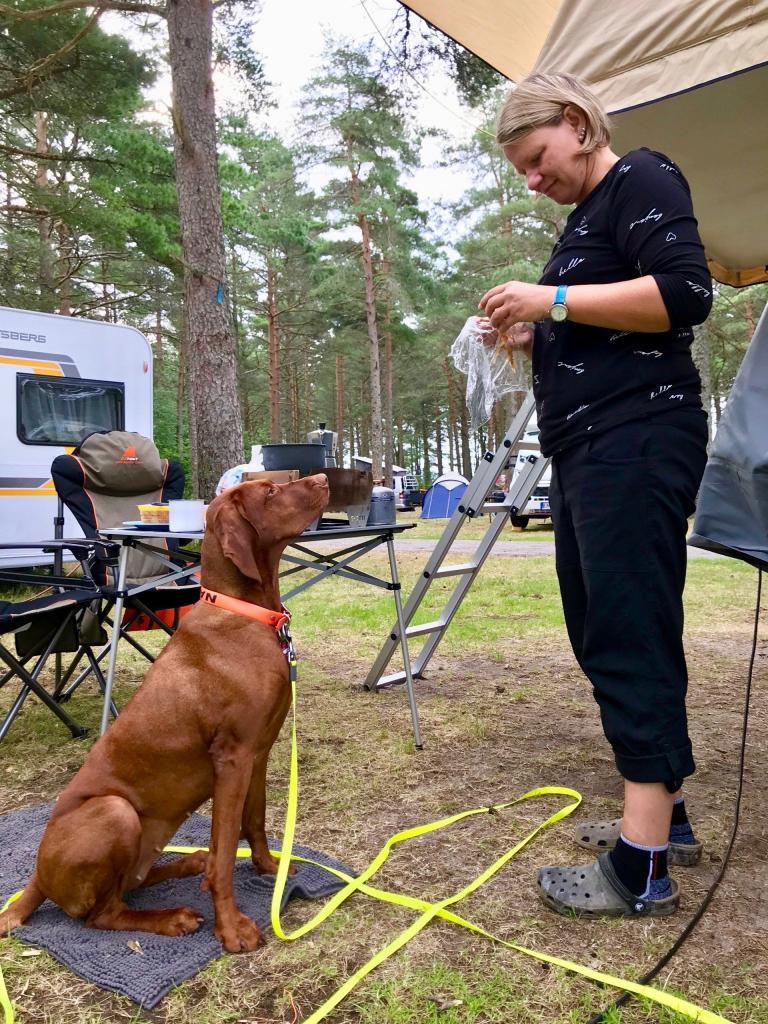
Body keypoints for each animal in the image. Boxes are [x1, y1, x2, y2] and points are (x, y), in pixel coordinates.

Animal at [0, 471, 327, 950]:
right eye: (270, 492)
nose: (323, 477)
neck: (243, 613)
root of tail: (36, 880)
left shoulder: (258, 751)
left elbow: (254, 821)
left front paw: (270, 869)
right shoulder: (232, 757)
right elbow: (226, 851)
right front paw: (231, 928)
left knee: (132, 884)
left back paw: (188, 865)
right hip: (115, 812)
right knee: (101, 915)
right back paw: (172, 917)